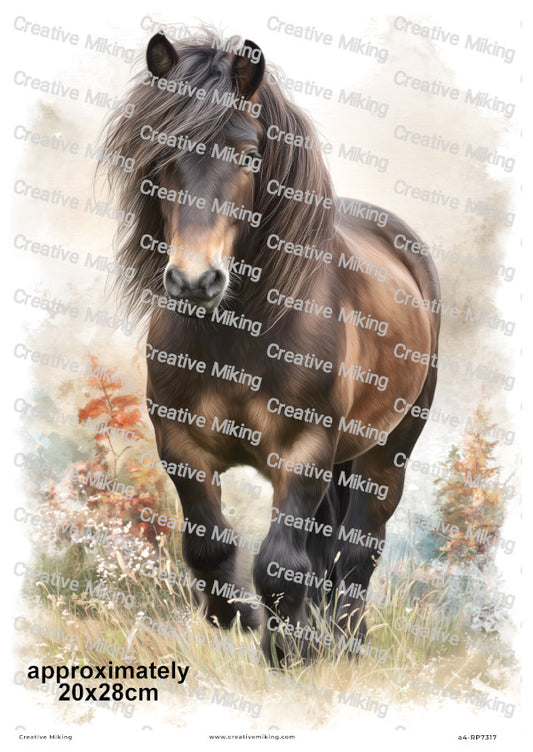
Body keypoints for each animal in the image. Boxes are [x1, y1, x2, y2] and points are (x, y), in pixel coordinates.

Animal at [102, 29, 440, 666]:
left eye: (249, 154)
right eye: (160, 153)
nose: (195, 281)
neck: (241, 334)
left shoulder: (304, 449)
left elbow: (282, 563)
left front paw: (286, 655)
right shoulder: (179, 442)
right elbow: (209, 548)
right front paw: (240, 620)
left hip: (388, 452)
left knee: (358, 550)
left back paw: (347, 645)